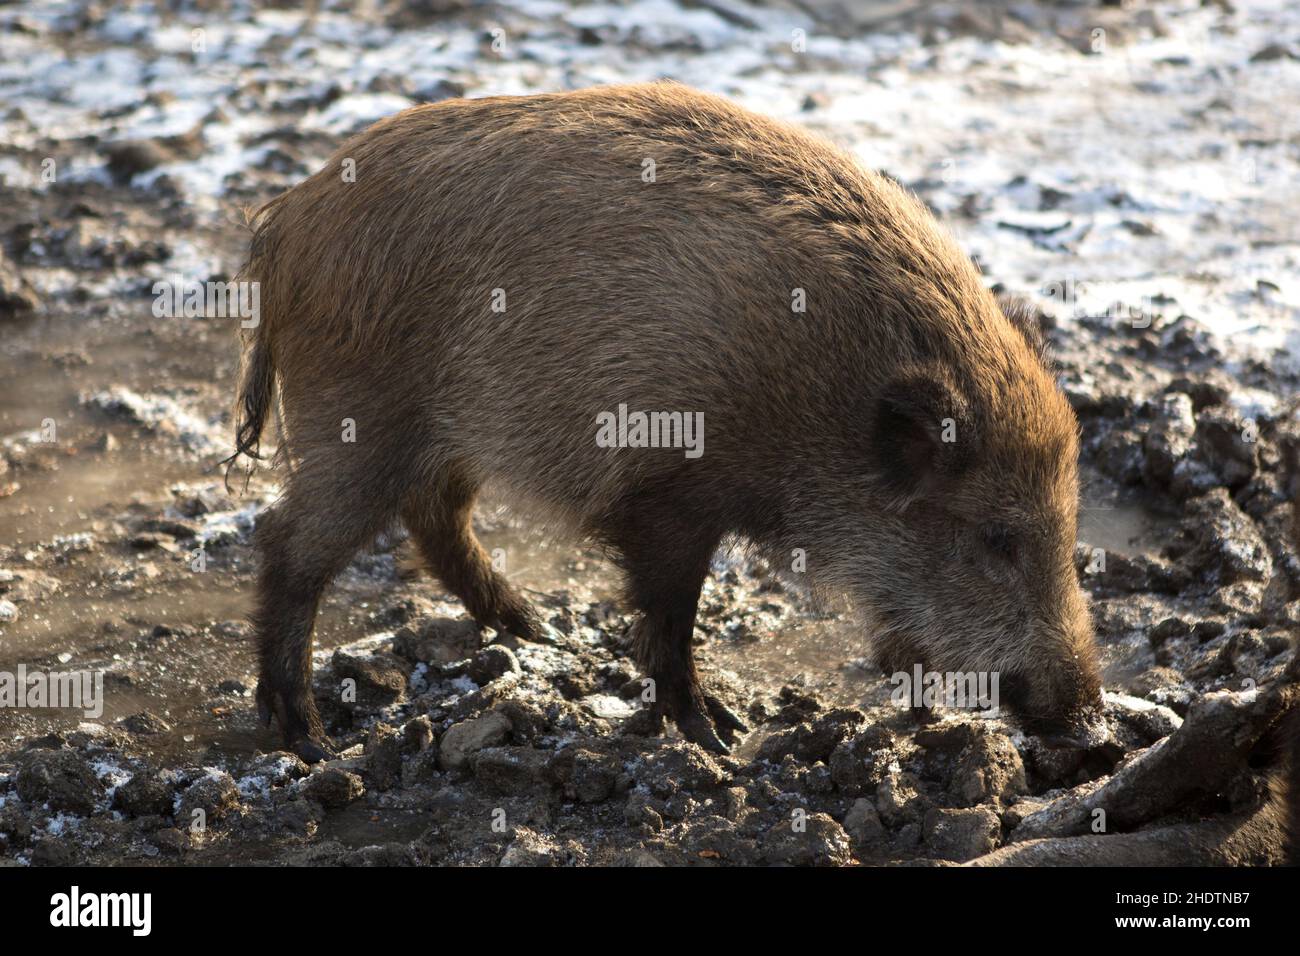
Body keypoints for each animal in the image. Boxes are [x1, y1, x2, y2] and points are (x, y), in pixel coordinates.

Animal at [228, 81, 1104, 761]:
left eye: (1070, 527)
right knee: (288, 545)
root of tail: (286, 223)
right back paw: (308, 738)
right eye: (998, 538)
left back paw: (533, 629)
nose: (1091, 725)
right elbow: (671, 613)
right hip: (358, 422)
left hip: (437, 434)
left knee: (433, 516)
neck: (824, 398)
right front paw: (718, 735)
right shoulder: (667, 491)